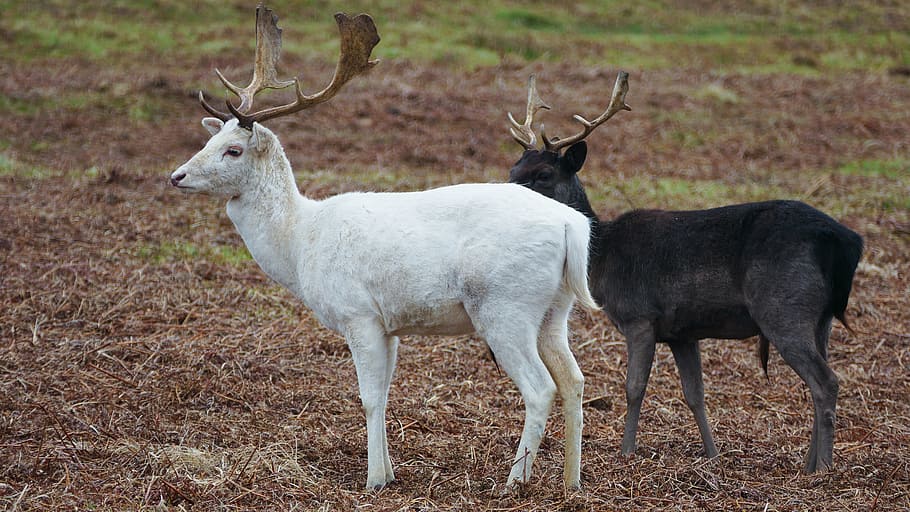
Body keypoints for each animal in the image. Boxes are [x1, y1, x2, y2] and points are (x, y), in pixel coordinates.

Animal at [169, 6, 598, 490]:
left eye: (234, 150)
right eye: (209, 140)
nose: (177, 176)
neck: (300, 242)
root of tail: (572, 225)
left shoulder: (358, 314)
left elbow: (369, 397)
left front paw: (374, 479)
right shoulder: (390, 325)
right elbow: (388, 393)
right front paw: (390, 470)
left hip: (505, 306)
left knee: (541, 386)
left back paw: (515, 480)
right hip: (555, 310)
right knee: (575, 379)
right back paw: (571, 481)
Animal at [506, 73, 864, 473]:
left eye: (544, 174)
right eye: (513, 168)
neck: (602, 256)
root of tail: (846, 242)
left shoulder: (640, 317)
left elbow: (634, 387)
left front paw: (626, 452)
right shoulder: (682, 333)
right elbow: (695, 394)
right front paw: (713, 454)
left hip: (785, 306)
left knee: (826, 381)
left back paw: (823, 470)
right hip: (821, 318)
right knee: (820, 378)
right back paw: (809, 462)